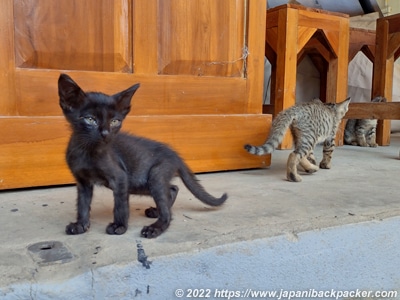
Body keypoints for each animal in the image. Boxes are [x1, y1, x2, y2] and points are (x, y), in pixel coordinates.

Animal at [59, 74, 228, 238]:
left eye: (115, 121)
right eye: (90, 119)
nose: (105, 134)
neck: (87, 151)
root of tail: (175, 155)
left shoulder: (120, 178)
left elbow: (120, 205)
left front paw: (119, 226)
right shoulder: (83, 182)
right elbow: (82, 204)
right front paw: (80, 225)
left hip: (154, 175)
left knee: (167, 208)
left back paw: (155, 227)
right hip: (141, 184)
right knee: (172, 188)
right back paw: (157, 211)